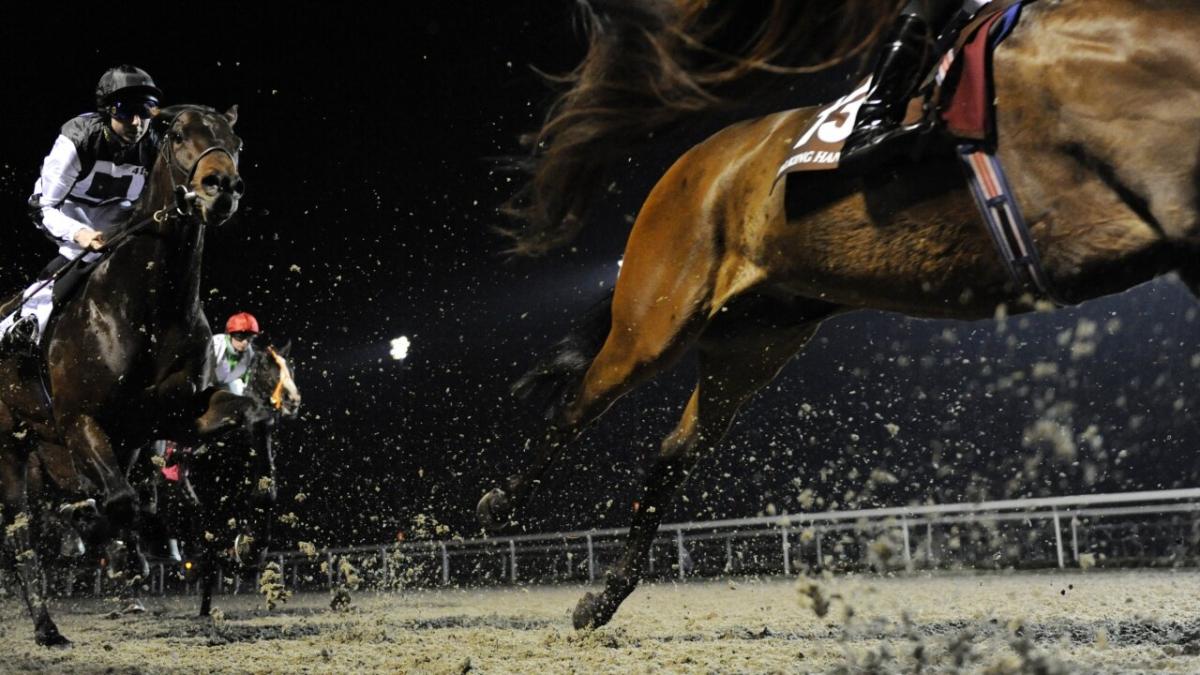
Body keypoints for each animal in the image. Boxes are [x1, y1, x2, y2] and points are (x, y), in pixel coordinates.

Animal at [0, 104, 244, 646]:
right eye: (178, 135)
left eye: (236, 140)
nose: (221, 185)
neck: (147, 307)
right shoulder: (79, 422)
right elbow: (121, 501)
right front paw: (124, 534)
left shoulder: (161, 420)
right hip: (11, 447)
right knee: (21, 534)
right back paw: (47, 626)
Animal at [478, 0, 1200, 630]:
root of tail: (695, 163)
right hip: (657, 317)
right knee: (577, 402)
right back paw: (499, 503)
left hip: (753, 339)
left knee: (673, 452)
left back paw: (601, 598)